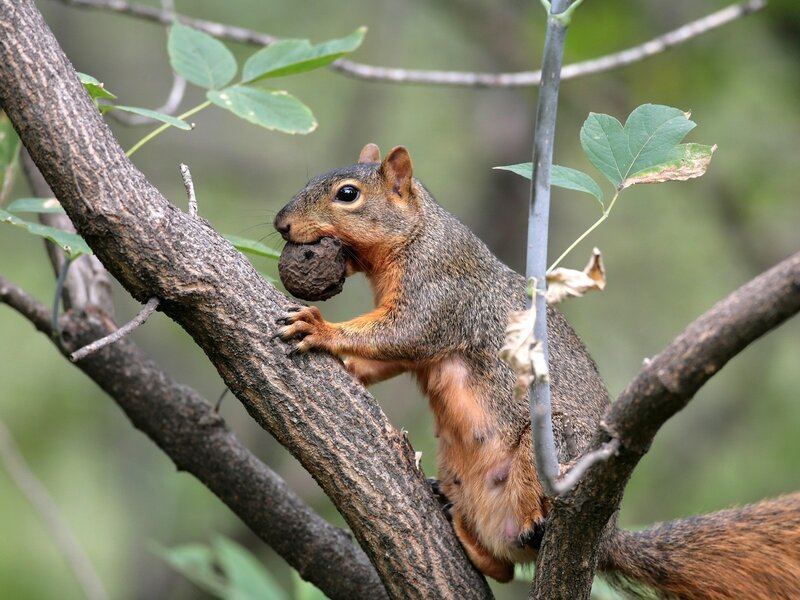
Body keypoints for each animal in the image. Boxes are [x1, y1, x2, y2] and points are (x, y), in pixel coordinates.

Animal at [275, 143, 800, 598]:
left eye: (347, 194)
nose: (281, 224)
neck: (416, 235)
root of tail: (608, 539)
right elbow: (389, 355)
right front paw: (347, 363)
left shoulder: (440, 293)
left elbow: (404, 334)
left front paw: (321, 328)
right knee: (503, 567)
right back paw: (456, 521)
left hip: (552, 444)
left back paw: (533, 522)